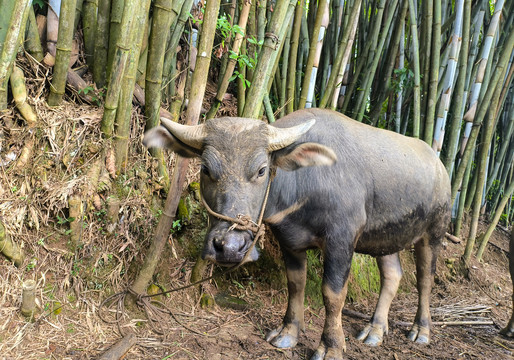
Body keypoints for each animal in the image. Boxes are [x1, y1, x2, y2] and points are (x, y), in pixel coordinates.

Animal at [143, 109, 448, 360]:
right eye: (206, 169)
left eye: (261, 170)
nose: (229, 247)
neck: (305, 183)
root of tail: (440, 167)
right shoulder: (289, 241)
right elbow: (295, 283)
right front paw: (287, 333)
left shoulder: (341, 240)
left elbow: (333, 293)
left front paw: (331, 347)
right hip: (385, 238)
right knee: (392, 275)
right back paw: (375, 329)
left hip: (434, 231)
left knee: (425, 278)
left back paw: (420, 331)